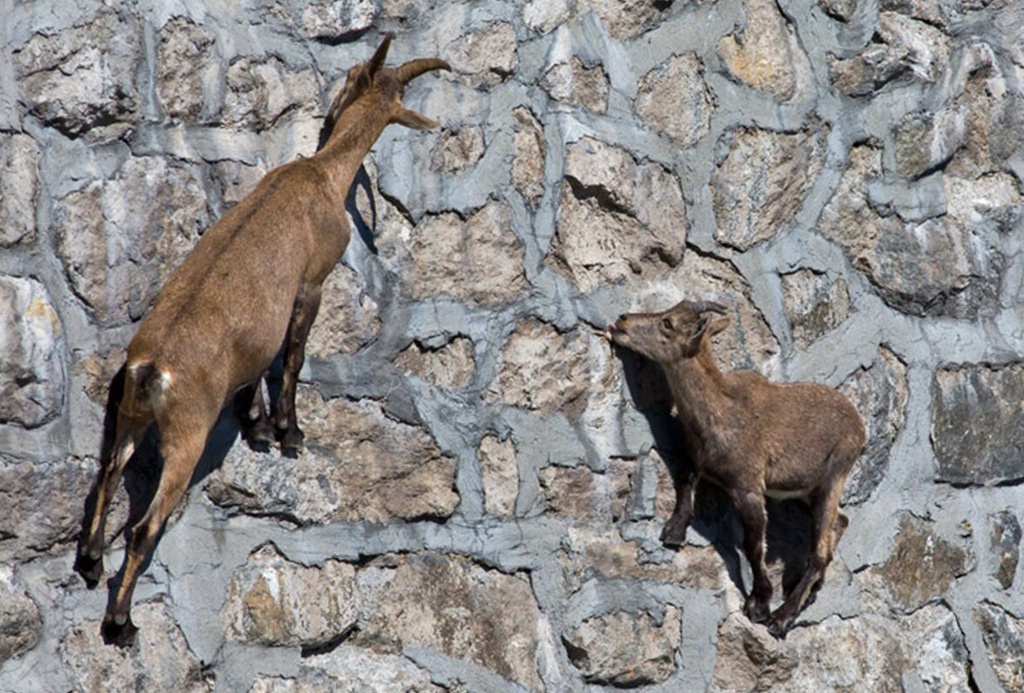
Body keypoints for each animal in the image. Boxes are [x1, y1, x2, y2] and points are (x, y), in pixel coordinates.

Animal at [74, 36, 450, 642]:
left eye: (351, 75)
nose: (327, 114)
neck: (321, 173)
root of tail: (152, 370)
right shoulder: (312, 281)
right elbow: (292, 356)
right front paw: (289, 433)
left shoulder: (255, 337)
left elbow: (256, 367)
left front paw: (256, 427)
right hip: (187, 434)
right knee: (144, 526)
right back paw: (121, 622)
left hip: (129, 415)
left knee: (107, 477)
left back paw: (88, 563)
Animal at [606, 300, 864, 634]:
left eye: (668, 323)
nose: (622, 320)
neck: (719, 410)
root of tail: (861, 428)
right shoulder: (699, 458)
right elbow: (686, 479)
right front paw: (674, 530)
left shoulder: (748, 487)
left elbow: (753, 546)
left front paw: (759, 604)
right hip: (806, 490)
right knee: (841, 523)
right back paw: (810, 591)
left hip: (835, 474)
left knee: (819, 553)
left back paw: (782, 617)